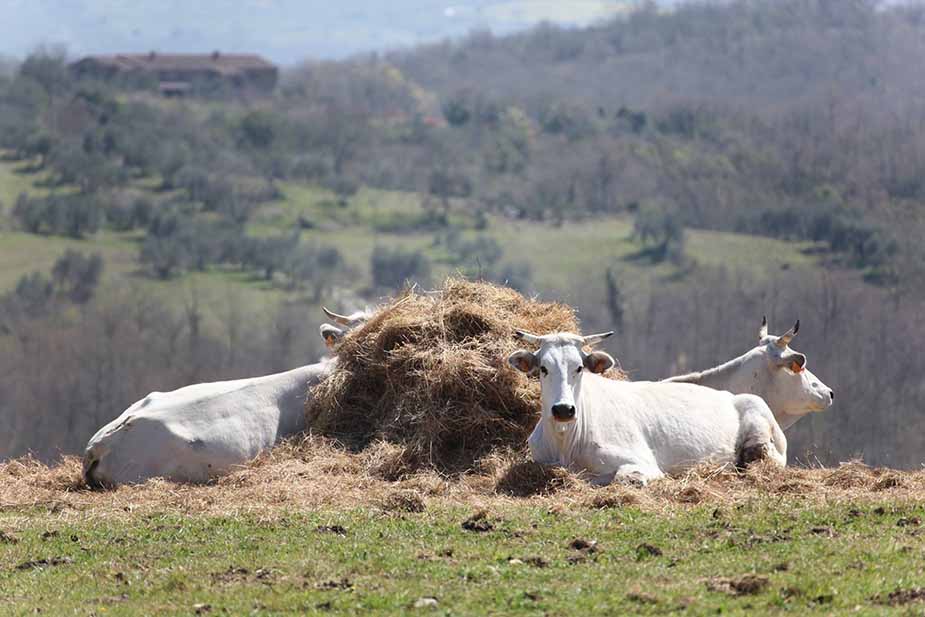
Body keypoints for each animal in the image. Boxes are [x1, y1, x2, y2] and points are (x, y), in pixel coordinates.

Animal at [508, 330, 784, 484]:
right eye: (544, 368)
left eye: (579, 367)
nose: (563, 409)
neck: (565, 442)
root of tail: (729, 395)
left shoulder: (643, 462)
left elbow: (624, 479)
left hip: (757, 414)